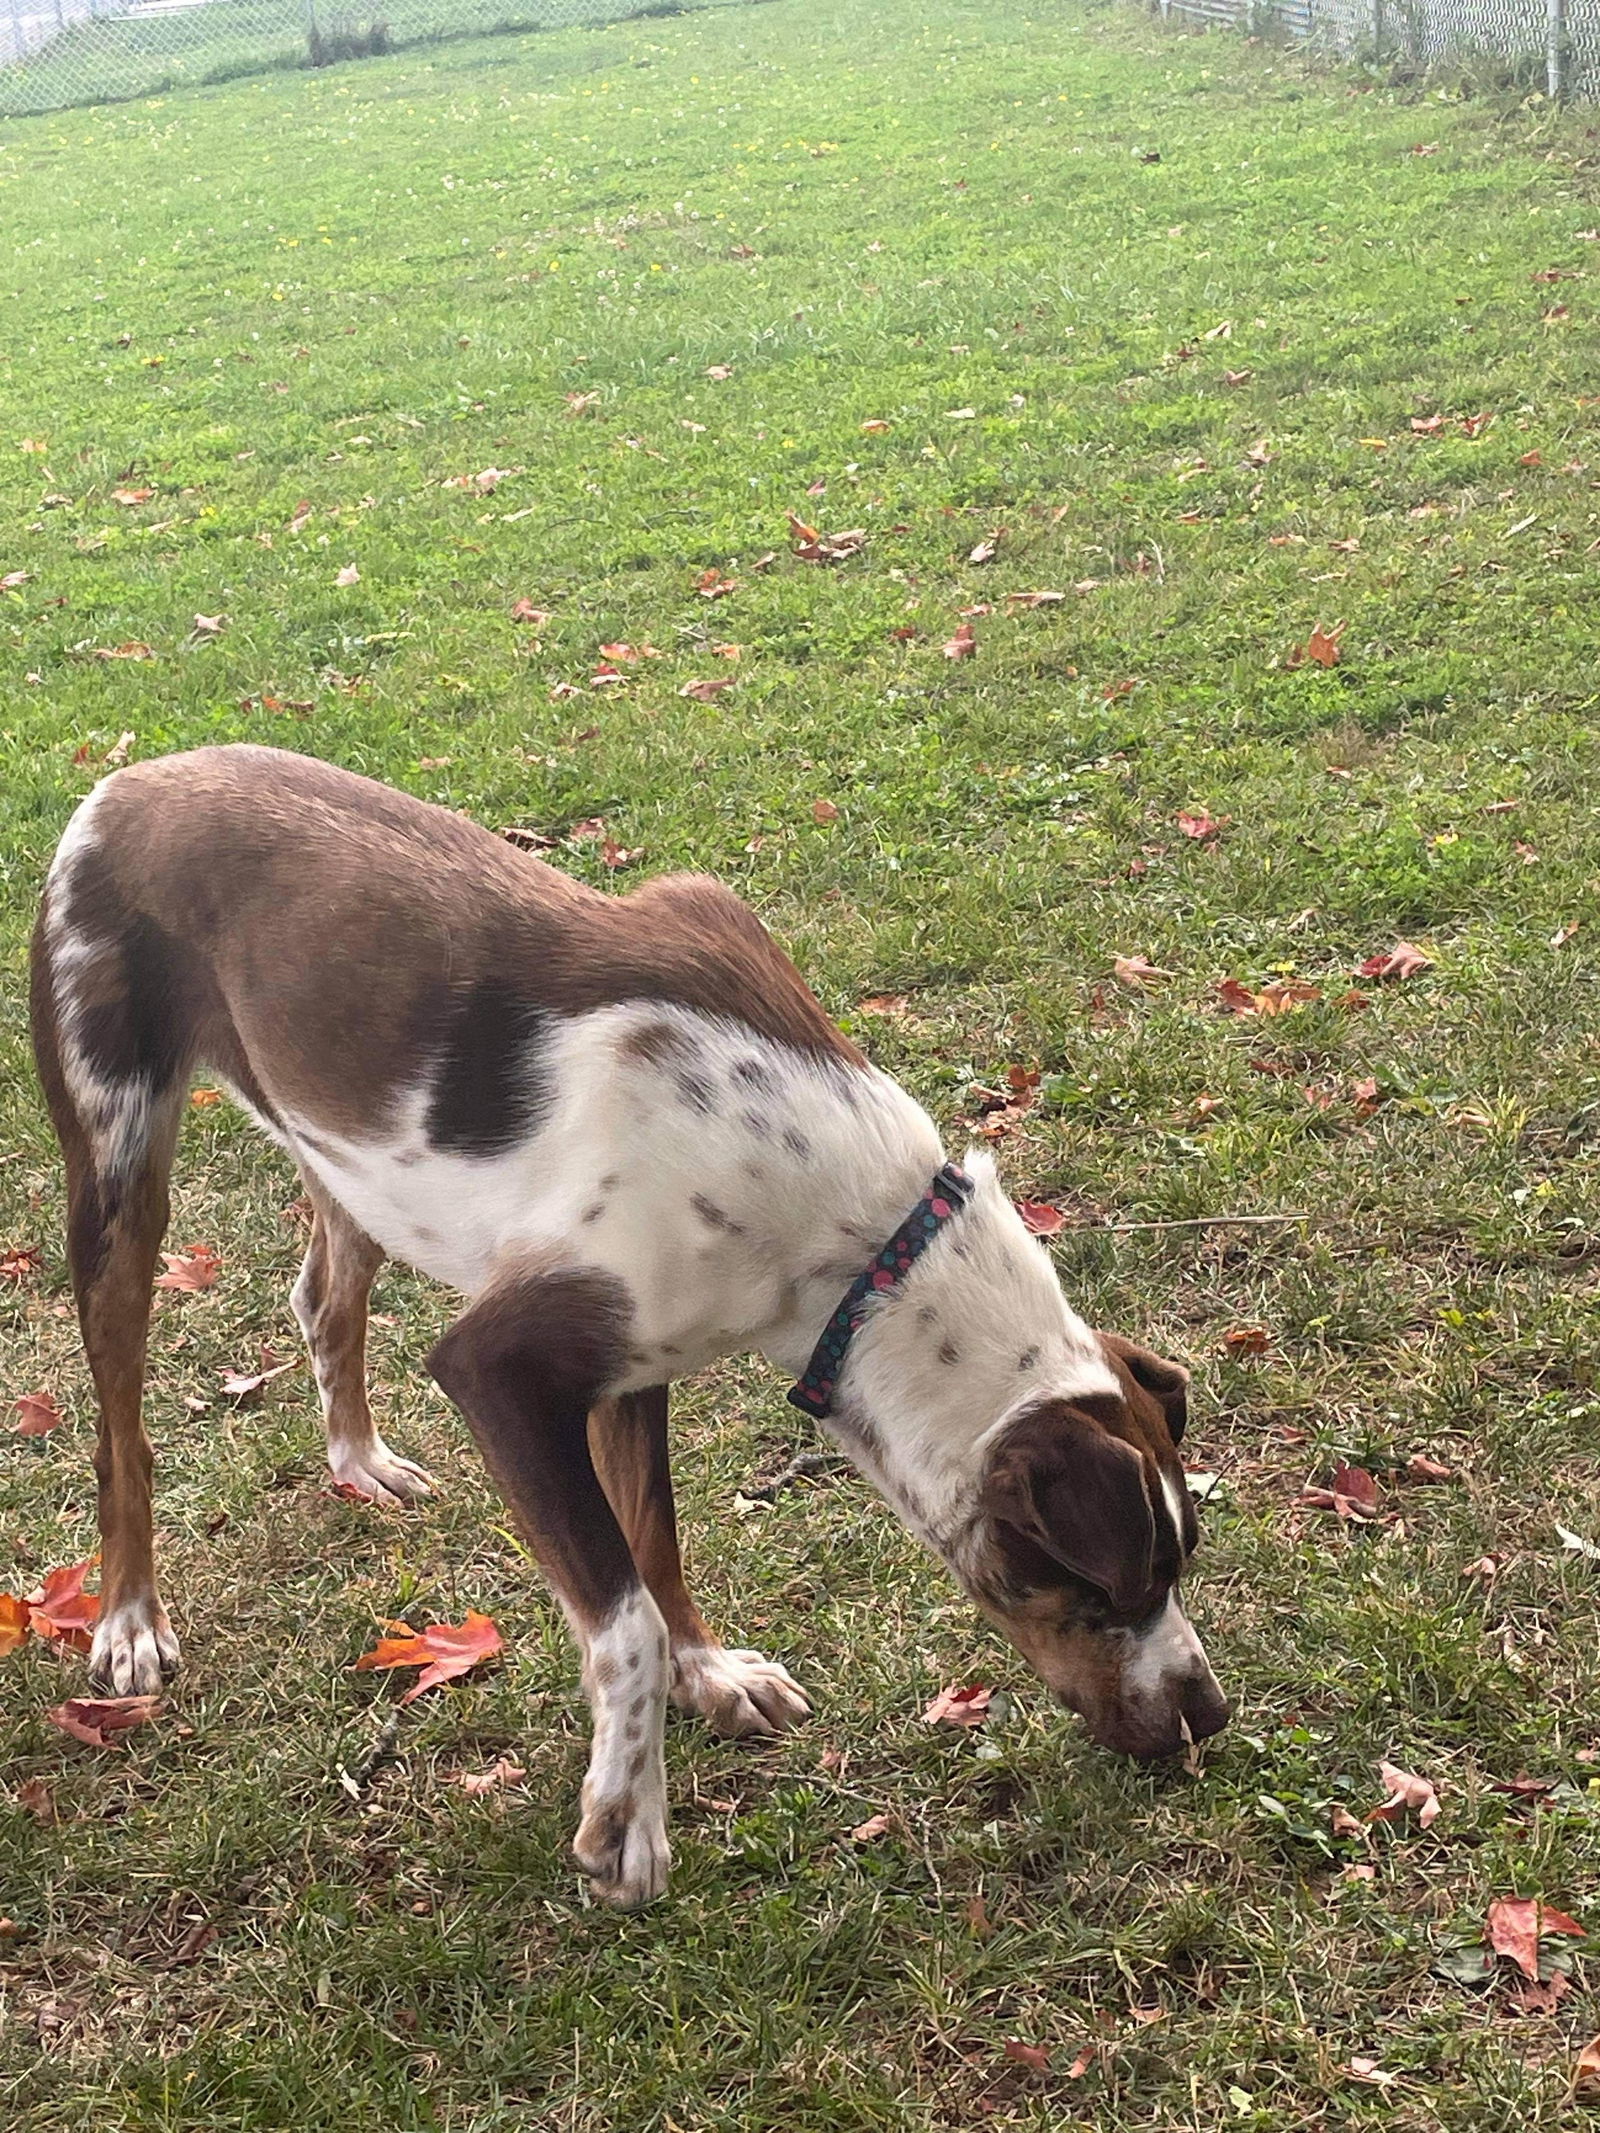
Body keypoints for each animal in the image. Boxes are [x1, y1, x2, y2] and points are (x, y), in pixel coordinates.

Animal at [25, 746, 1237, 1902]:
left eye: (1176, 1567)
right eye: (1106, 1587)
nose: (1209, 1712)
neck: (858, 1241)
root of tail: (126, 782)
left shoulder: (636, 1364)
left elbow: (656, 1541)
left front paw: (711, 1676)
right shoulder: (502, 1372)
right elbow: (626, 1621)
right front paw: (626, 1819)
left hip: (341, 1147)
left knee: (325, 1296)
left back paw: (359, 1459)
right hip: (118, 1167)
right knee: (121, 1430)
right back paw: (128, 1618)